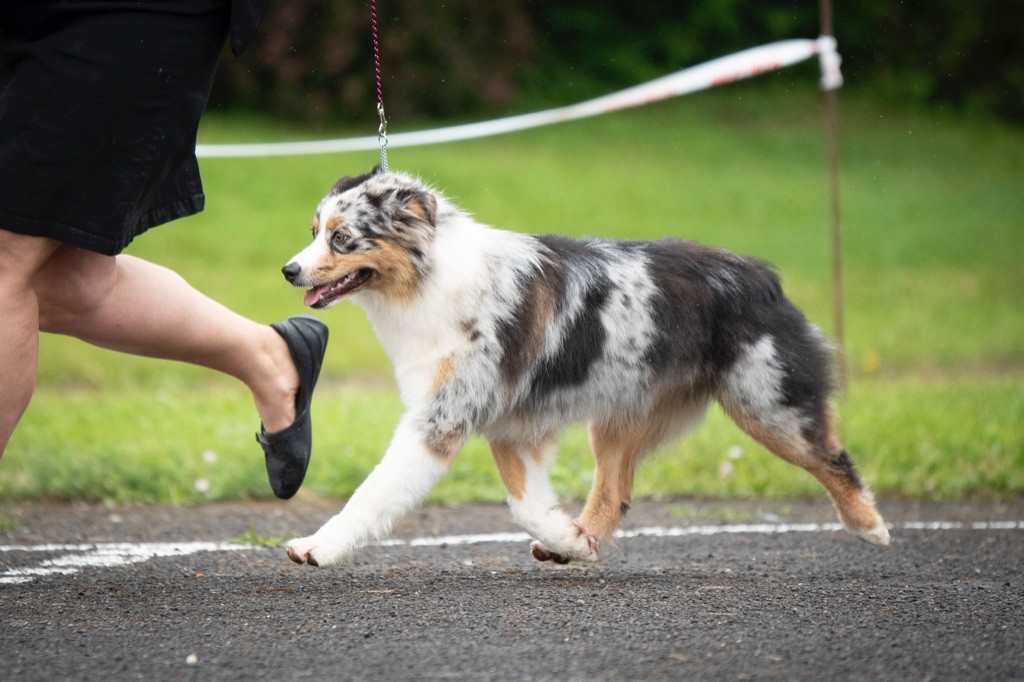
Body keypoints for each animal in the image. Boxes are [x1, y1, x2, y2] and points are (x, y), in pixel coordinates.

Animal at [280, 166, 888, 565]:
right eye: (312, 231)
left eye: (342, 237)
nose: (288, 270)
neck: (428, 280)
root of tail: (761, 274)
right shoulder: (509, 425)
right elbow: (526, 503)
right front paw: (568, 539)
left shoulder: (441, 420)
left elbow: (373, 493)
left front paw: (316, 546)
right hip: (620, 413)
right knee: (614, 489)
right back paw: (582, 543)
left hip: (765, 403)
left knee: (832, 456)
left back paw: (871, 527)